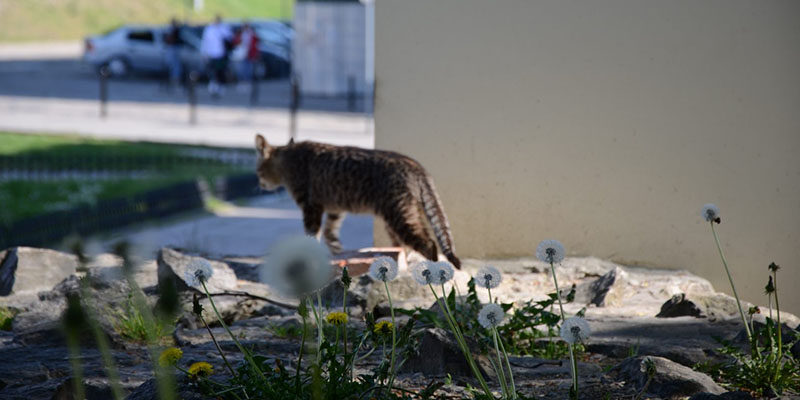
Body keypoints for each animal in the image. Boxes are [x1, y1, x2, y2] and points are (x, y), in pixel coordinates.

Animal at [253, 134, 460, 268]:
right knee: (416, 240)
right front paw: (336, 252)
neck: (289, 158)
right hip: (408, 211)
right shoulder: (335, 209)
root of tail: (416, 166)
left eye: (258, 170)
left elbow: (312, 234)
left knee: (427, 243)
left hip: (399, 214)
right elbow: (329, 233)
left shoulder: (310, 206)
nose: (259, 184)